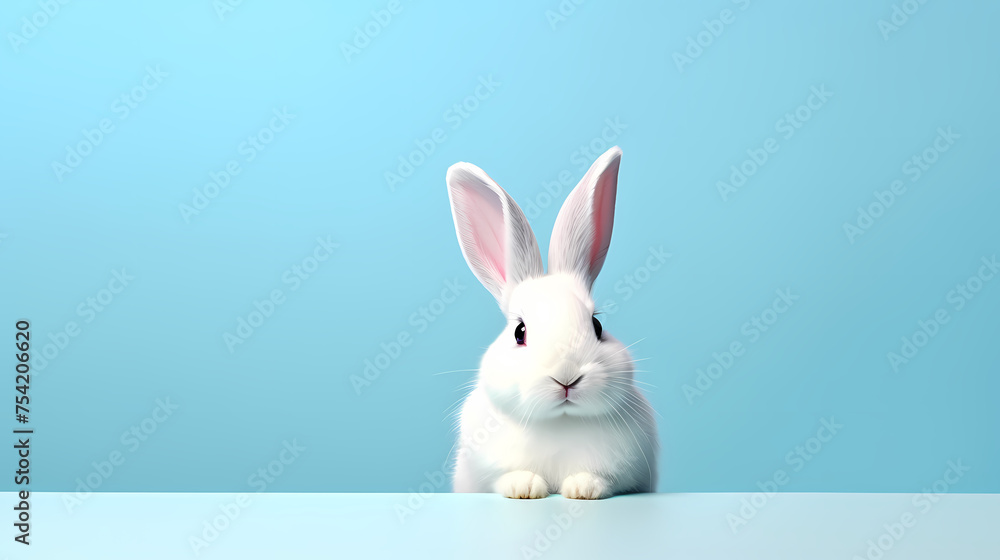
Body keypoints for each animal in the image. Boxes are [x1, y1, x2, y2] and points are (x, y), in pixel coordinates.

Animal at [445, 146, 658, 499]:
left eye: (597, 326)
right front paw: (526, 487)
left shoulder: (628, 474)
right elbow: (505, 478)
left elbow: (603, 480)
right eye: (519, 332)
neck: (561, 421)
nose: (567, 376)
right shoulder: (484, 472)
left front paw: (582, 488)